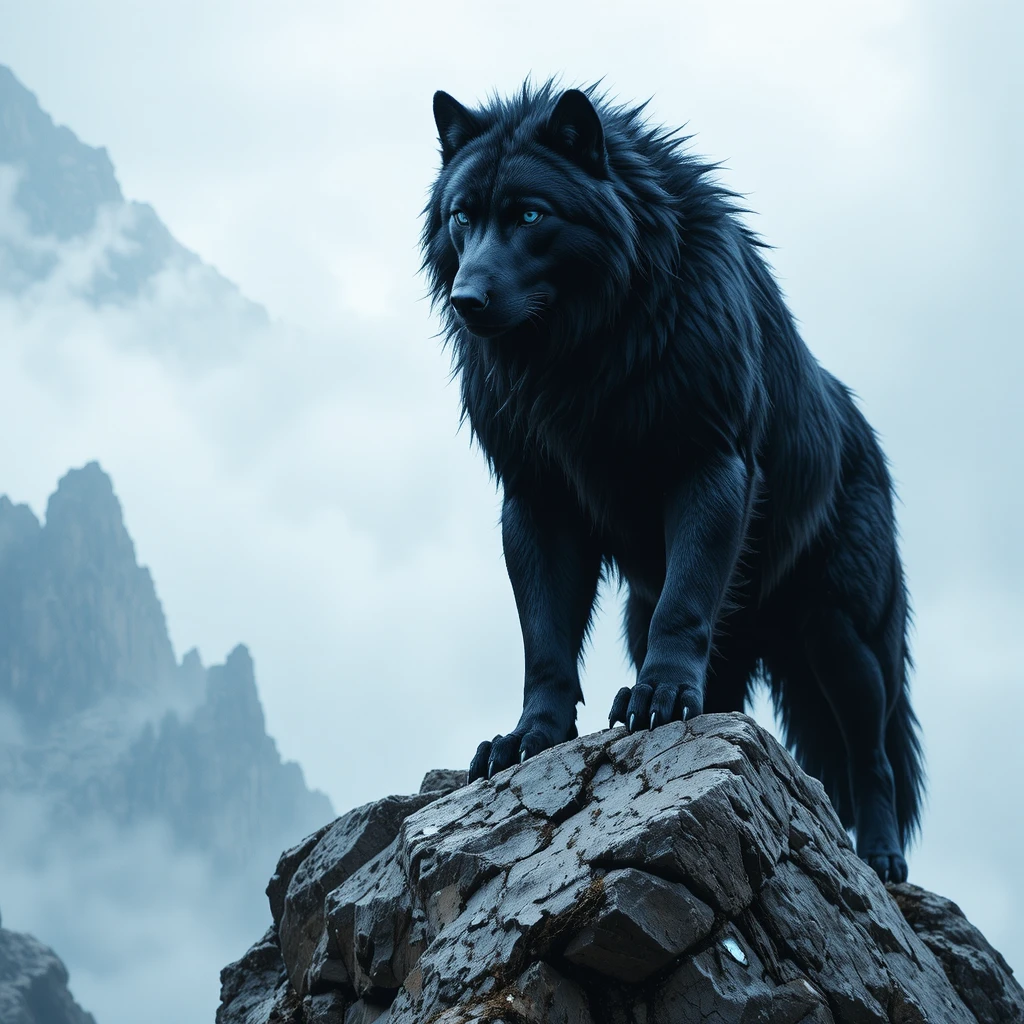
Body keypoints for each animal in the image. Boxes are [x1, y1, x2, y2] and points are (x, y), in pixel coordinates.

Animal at [421, 81, 924, 882]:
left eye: (530, 214)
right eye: (462, 216)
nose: (468, 300)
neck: (582, 357)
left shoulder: (706, 466)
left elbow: (684, 607)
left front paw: (661, 700)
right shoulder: (536, 505)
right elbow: (545, 642)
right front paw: (531, 737)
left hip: (839, 637)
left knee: (871, 757)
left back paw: (879, 856)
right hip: (666, 615)